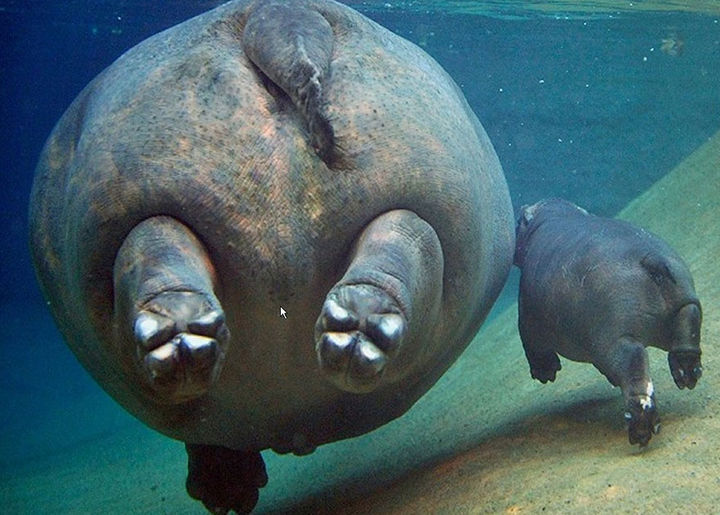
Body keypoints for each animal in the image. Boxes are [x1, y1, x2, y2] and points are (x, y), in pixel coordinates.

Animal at [514, 198, 702, 446]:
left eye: (518, 221)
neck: (552, 215)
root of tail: (651, 259)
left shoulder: (526, 316)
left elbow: (531, 345)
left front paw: (546, 374)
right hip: (685, 304)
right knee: (688, 333)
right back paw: (687, 375)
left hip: (615, 340)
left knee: (634, 371)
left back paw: (640, 430)